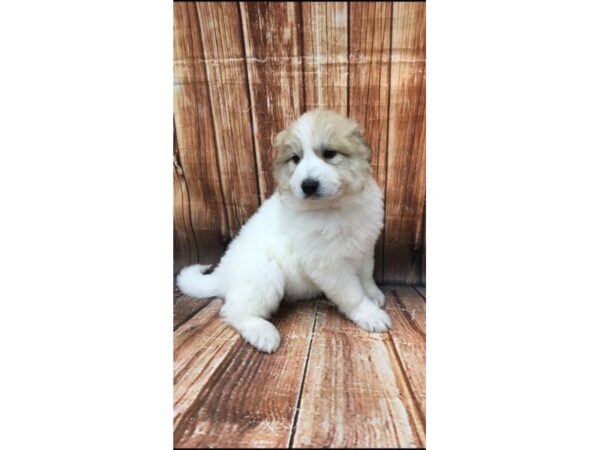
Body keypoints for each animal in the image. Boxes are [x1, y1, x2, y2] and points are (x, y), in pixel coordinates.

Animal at [176, 108, 390, 352]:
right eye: (295, 159)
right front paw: (371, 315)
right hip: (264, 273)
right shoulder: (329, 266)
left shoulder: (364, 248)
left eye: (329, 153)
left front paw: (373, 295)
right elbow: (352, 294)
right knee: (234, 311)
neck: (334, 208)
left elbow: (366, 277)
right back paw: (262, 332)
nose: (308, 185)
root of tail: (222, 274)